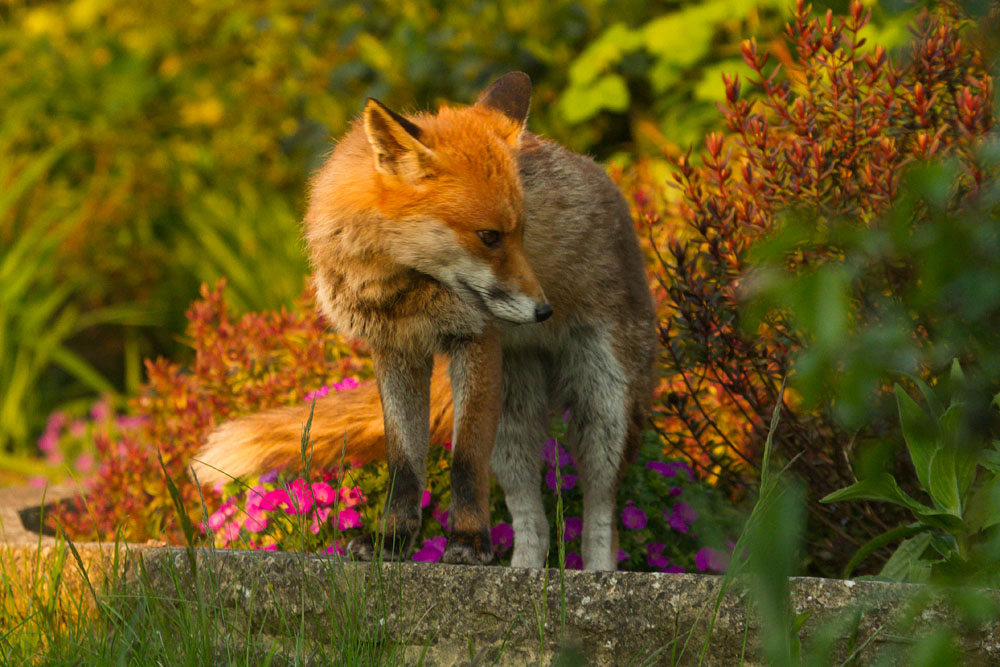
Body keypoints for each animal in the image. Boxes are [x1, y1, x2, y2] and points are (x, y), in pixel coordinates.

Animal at [192, 72, 657, 571]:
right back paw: (525, 570)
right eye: (489, 236)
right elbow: (404, 463)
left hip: (603, 409)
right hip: (513, 425)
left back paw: (596, 572)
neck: (403, 290)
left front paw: (468, 542)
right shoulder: (395, 350)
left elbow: (465, 460)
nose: (543, 311)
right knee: (533, 520)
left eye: (522, 234)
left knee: (601, 514)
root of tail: (603, 177)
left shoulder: (475, 339)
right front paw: (392, 541)